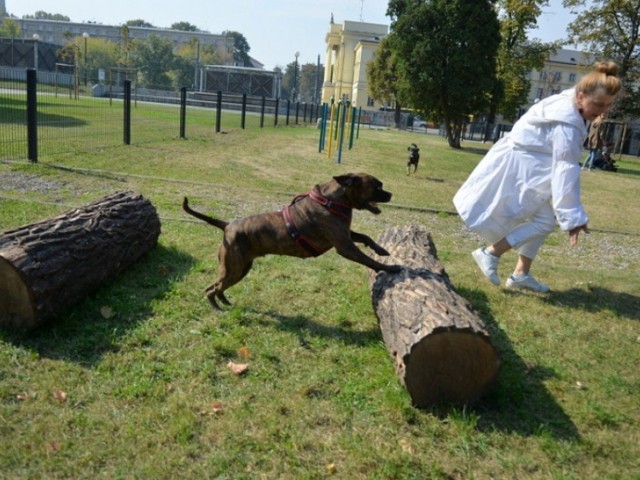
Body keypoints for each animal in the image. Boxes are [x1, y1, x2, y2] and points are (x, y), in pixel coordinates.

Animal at [182, 174, 400, 310]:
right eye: (377, 186)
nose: (391, 194)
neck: (332, 200)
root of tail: (227, 225)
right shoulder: (344, 246)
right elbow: (368, 260)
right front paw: (390, 268)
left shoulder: (345, 235)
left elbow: (365, 236)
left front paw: (381, 249)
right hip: (233, 269)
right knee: (210, 289)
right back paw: (217, 308)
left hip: (240, 269)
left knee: (219, 286)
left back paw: (224, 302)